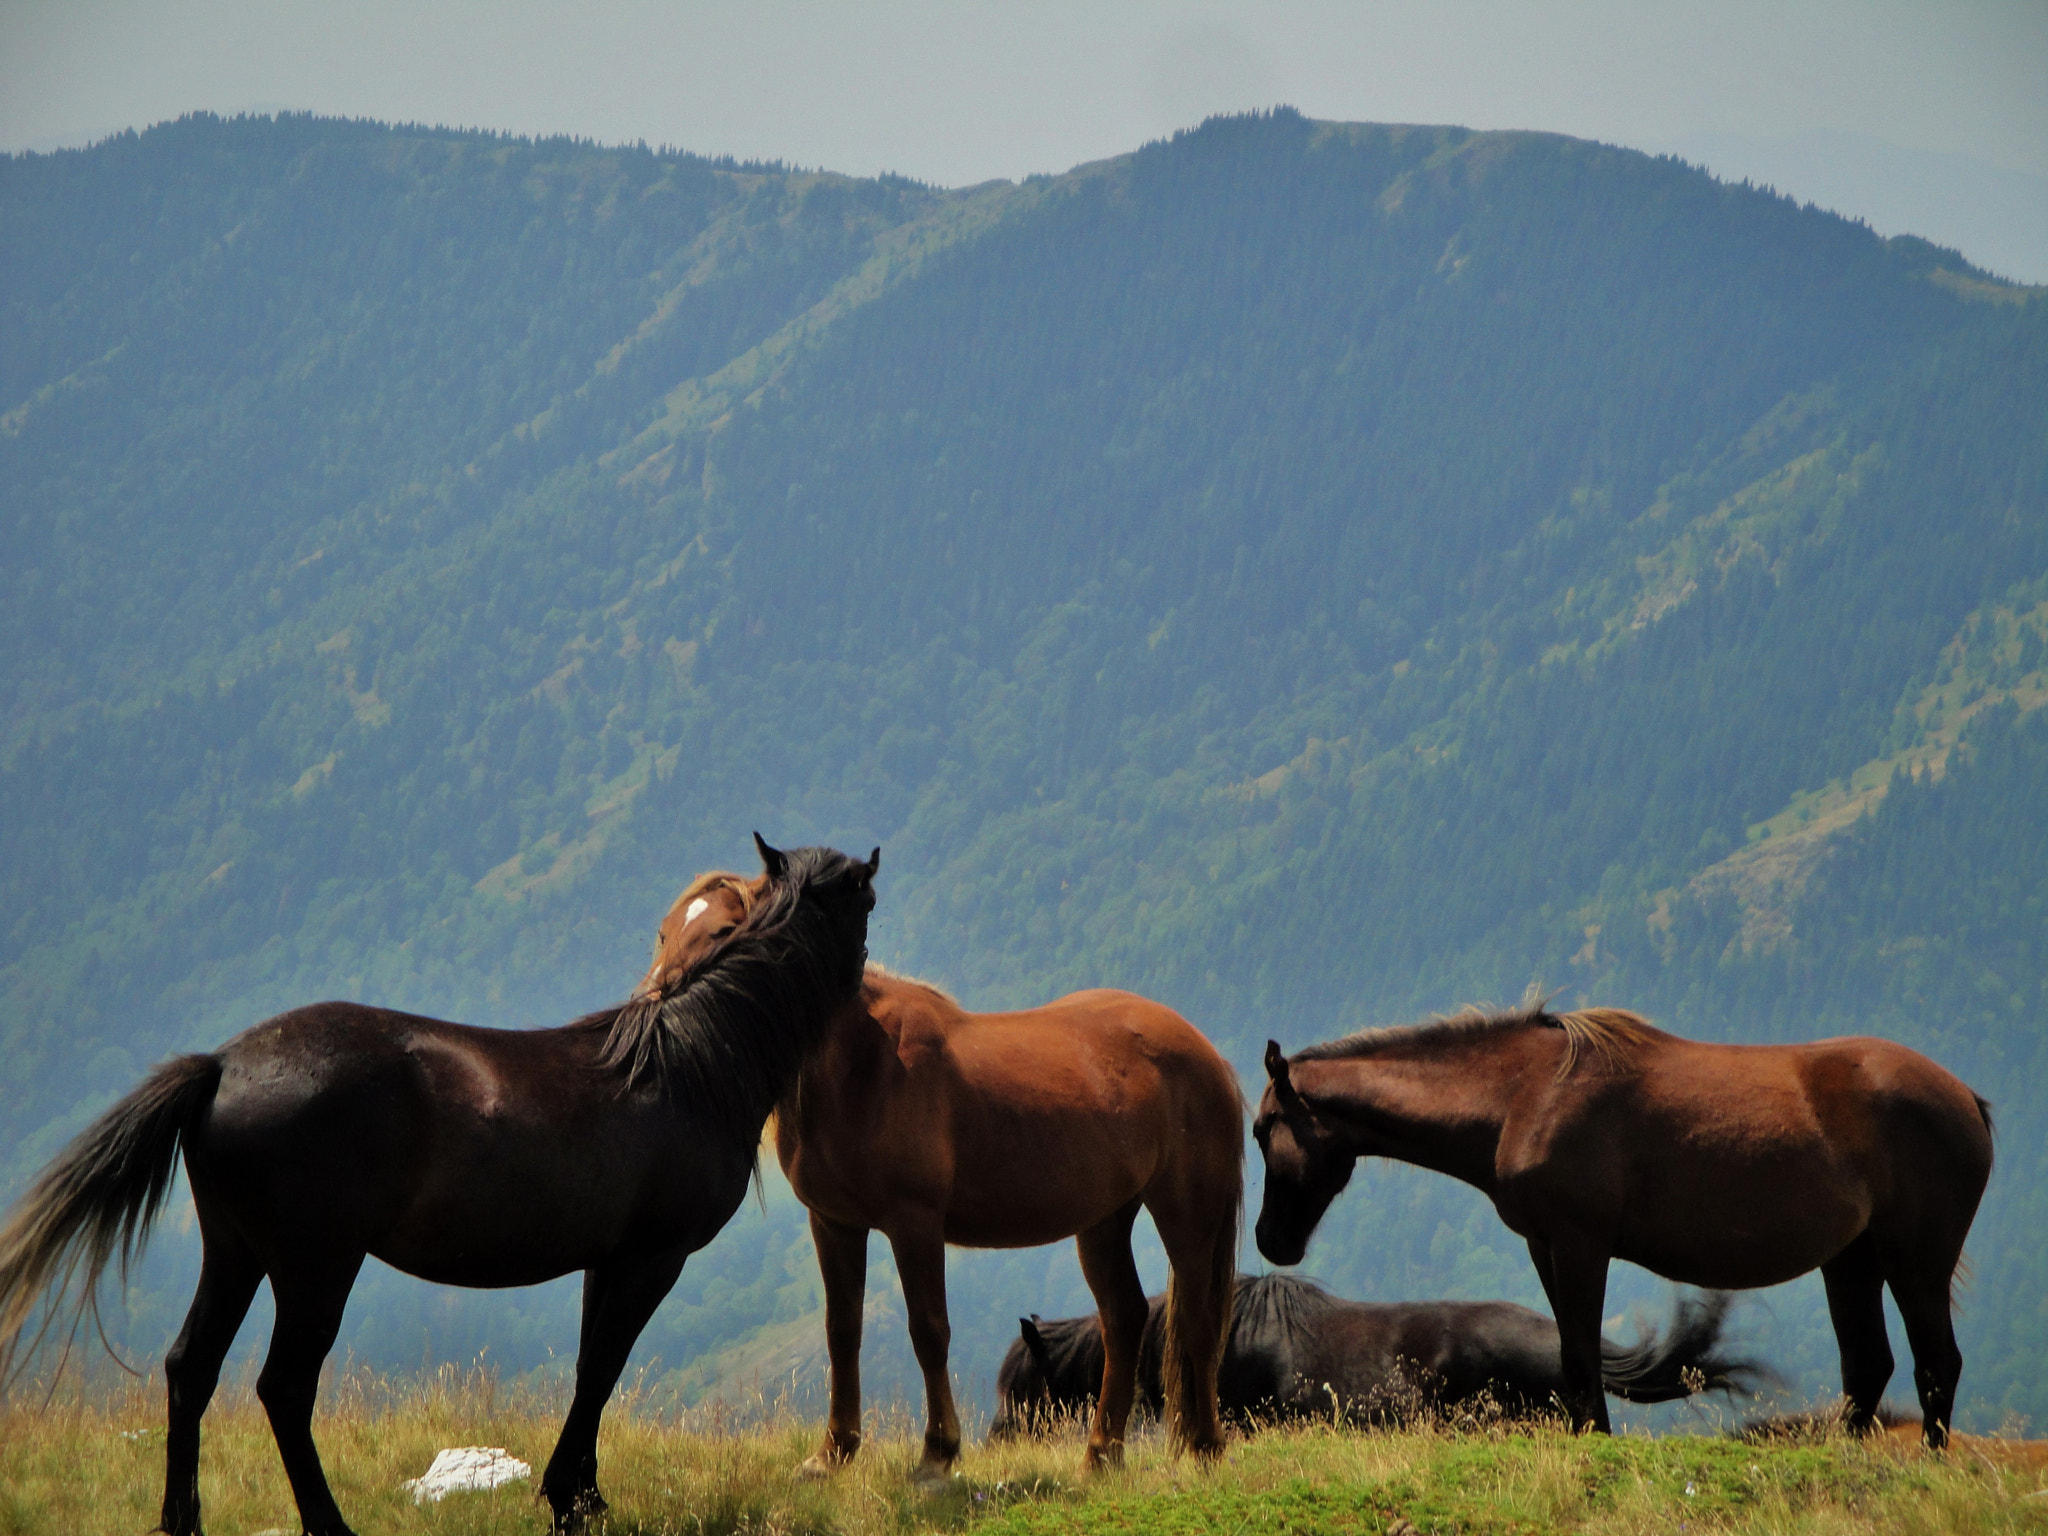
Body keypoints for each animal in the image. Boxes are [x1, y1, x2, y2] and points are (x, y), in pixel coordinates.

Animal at [0, 843, 872, 1536]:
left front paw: (583, 1499)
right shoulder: (651, 1260)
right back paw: (329, 1525)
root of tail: (222, 1065)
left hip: (235, 1253)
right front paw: (567, 1499)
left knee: (191, 1370)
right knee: (283, 1387)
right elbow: (603, 1369)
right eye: (865, 907)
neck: (690, 1066)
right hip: (315, 1269)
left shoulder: (609, 1260)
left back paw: (183, 1521)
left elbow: (591, 1367)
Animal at [647, 876, 1236, 1490]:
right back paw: (1100, 1455)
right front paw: (834, 1452)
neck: (862, 1066)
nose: (653, 1000)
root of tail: (1206, 1055)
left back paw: (1205, 1446)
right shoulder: (833, 1223)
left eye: (723, 931)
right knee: (1124, 1319)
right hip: (1105, 1220)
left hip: (1186, 1215)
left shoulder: (915, 1225)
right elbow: (842, 1331)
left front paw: (938, 1453)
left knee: (1196, 1324)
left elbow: (929, 1332)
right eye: (663, 931)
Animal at [1253, 1003, 1990, 1449]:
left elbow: (1582, 1356)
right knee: (1869, 1366)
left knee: (1935, 1364)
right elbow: (1570, 1357)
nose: (1268, 1241)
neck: (1522, 1094)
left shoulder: (1581, 1245)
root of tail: (1965, 1098)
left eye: (1262, 1129)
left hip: (1915, 1262)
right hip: (1852, 1261)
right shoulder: (1544, 1244)